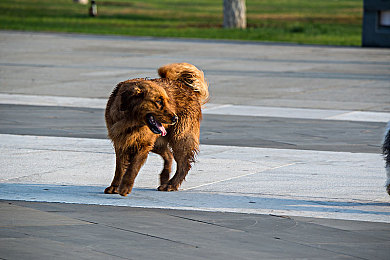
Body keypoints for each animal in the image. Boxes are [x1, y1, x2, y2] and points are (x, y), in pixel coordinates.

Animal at [103, 63, 207, 197]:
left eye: (167, 101)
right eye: (158, 101)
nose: (175, 118)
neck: (130, 122)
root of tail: (188, 88)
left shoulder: (143, 144)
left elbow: (132, 167)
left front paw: (125, 187)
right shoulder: (120, 142)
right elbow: (119, 168)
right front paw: (115, 186)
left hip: (180, 137)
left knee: (184, 164)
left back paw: (171, 184)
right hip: (157, 143)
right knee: (169, 155)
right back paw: (165, 177)